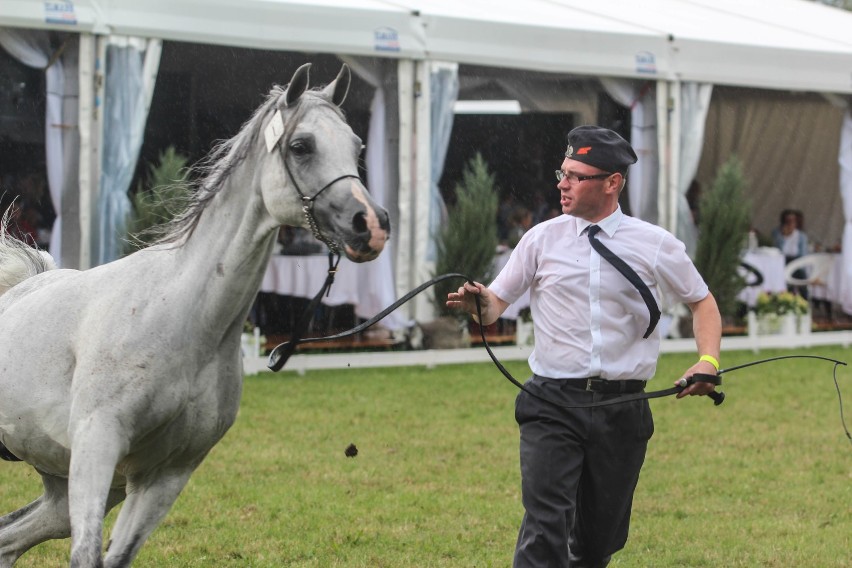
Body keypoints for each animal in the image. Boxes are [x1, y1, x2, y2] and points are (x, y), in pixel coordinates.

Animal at [0, 64, 390, 564]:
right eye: (302, 145)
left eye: (357, 147)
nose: (372, 225)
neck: (180, 318)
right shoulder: (97, 446)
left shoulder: (164, 475)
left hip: (60, 486)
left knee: (9, 537)